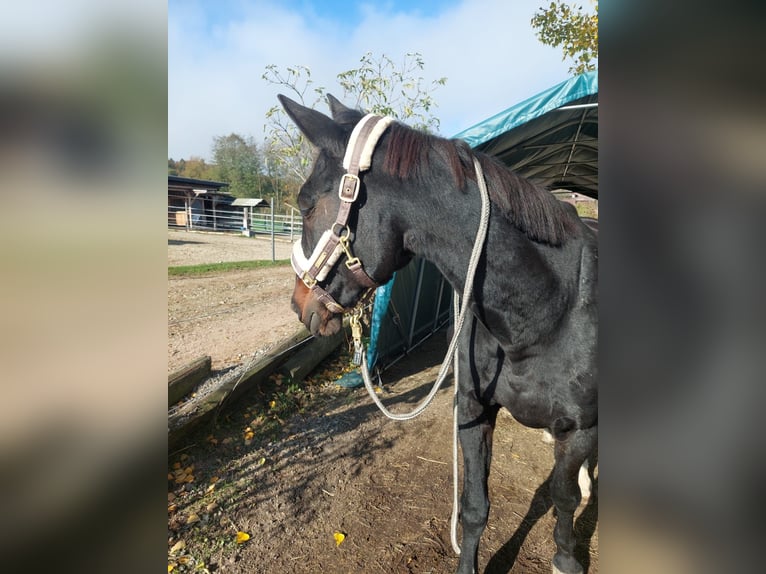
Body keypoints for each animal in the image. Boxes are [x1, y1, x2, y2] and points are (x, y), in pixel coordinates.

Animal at [282, 94, 600, 574]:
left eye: (305, 205)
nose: (300, 305)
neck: (544, 313)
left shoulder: (580, 429)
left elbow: (564, 498)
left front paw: (565, 558)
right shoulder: (473, 410)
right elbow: (474, 507)